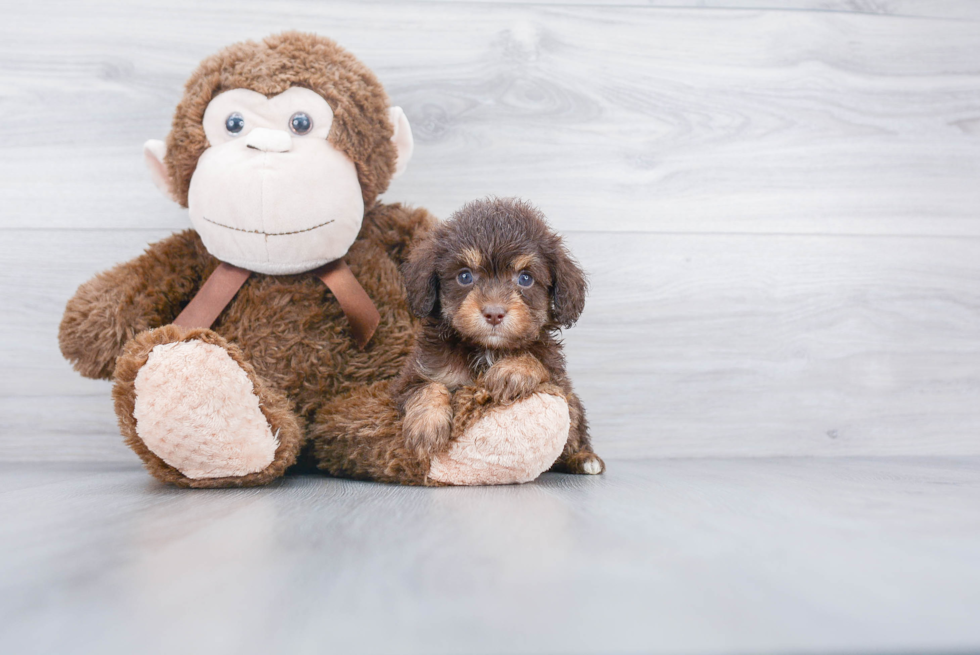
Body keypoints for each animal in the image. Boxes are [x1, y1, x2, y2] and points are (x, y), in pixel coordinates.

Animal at [390, 196, 604, 476]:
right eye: (465, 276)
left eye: (525, 278)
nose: (494, 313)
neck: (488, 350)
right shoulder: (416, 373)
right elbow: (427, 386)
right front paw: (426, 426)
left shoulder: (557, 379)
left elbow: (535, 360)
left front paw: (511, 371)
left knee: (576, 430)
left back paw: (586, 458)